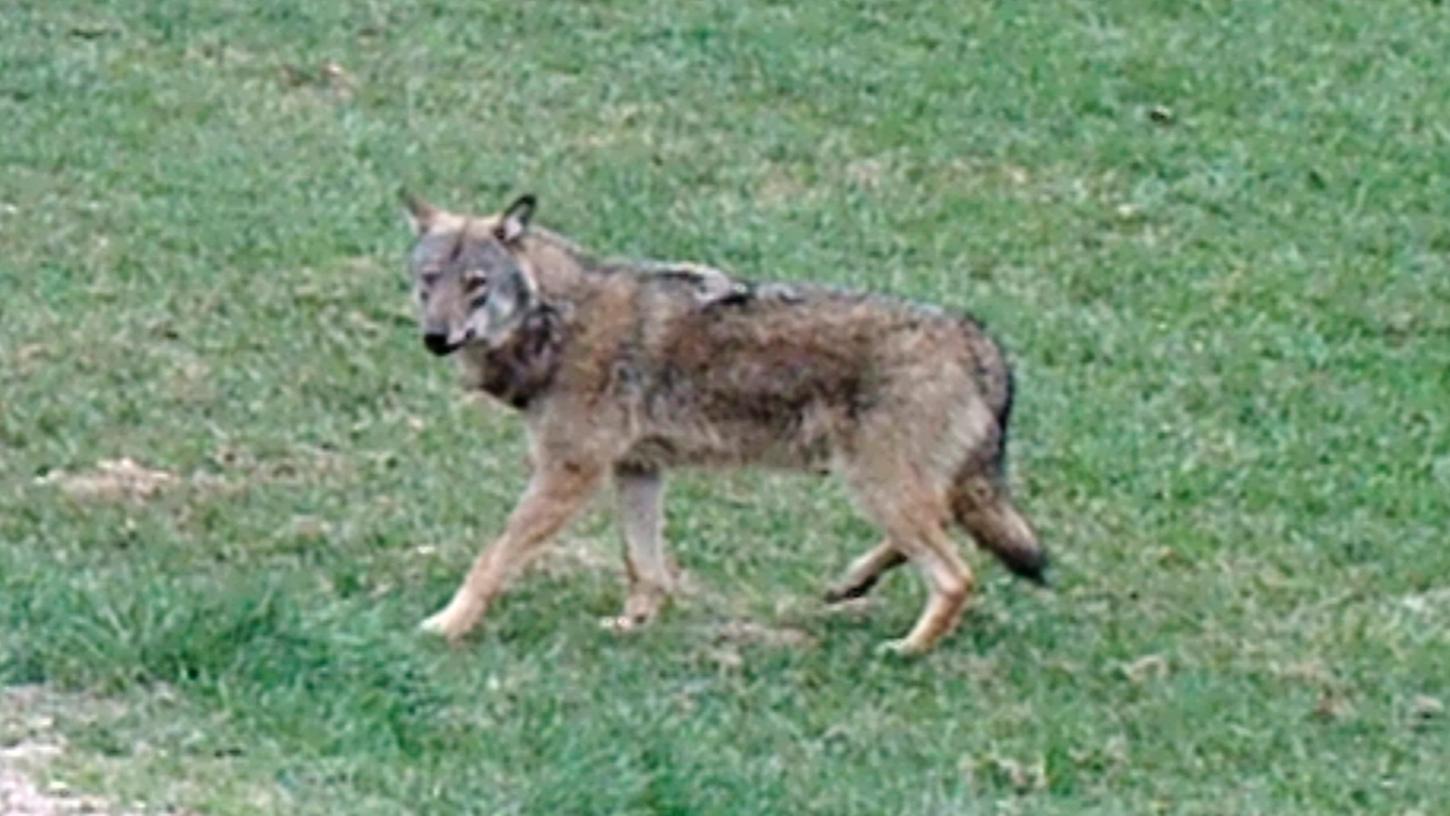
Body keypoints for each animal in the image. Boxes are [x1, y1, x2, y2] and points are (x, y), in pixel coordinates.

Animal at [403, 192, 1049, 658]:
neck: (556, 320)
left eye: (476, 285)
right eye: (429, 280)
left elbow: (493, 557)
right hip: (897, 488)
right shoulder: (638, 470)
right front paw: (631, 626)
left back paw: (908, 649)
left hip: (877, 486)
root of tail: (977, 338)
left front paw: (447, 625)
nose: (434, 338)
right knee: (943, 533)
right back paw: (849, 585)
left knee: (956, 575)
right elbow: (646, 570)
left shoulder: (569, 472)